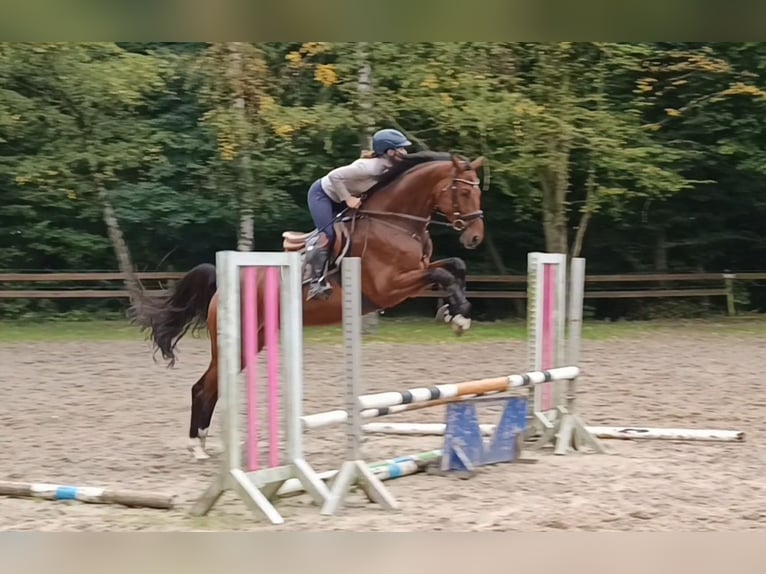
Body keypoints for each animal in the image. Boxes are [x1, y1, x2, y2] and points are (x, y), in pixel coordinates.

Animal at [130, 151, 486, 462]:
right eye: (462, 191)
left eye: (478, 191)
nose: (475, 238)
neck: (395, 222)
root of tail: (222, 285)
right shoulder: (390, 287)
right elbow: (443, 273)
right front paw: (459, 318)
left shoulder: (415, 275)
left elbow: (454, 266)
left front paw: (454, 313)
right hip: (236, 340)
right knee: (204, 387)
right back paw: (197, 447)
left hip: (254, 339)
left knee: (213, 385)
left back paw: (203, 443)